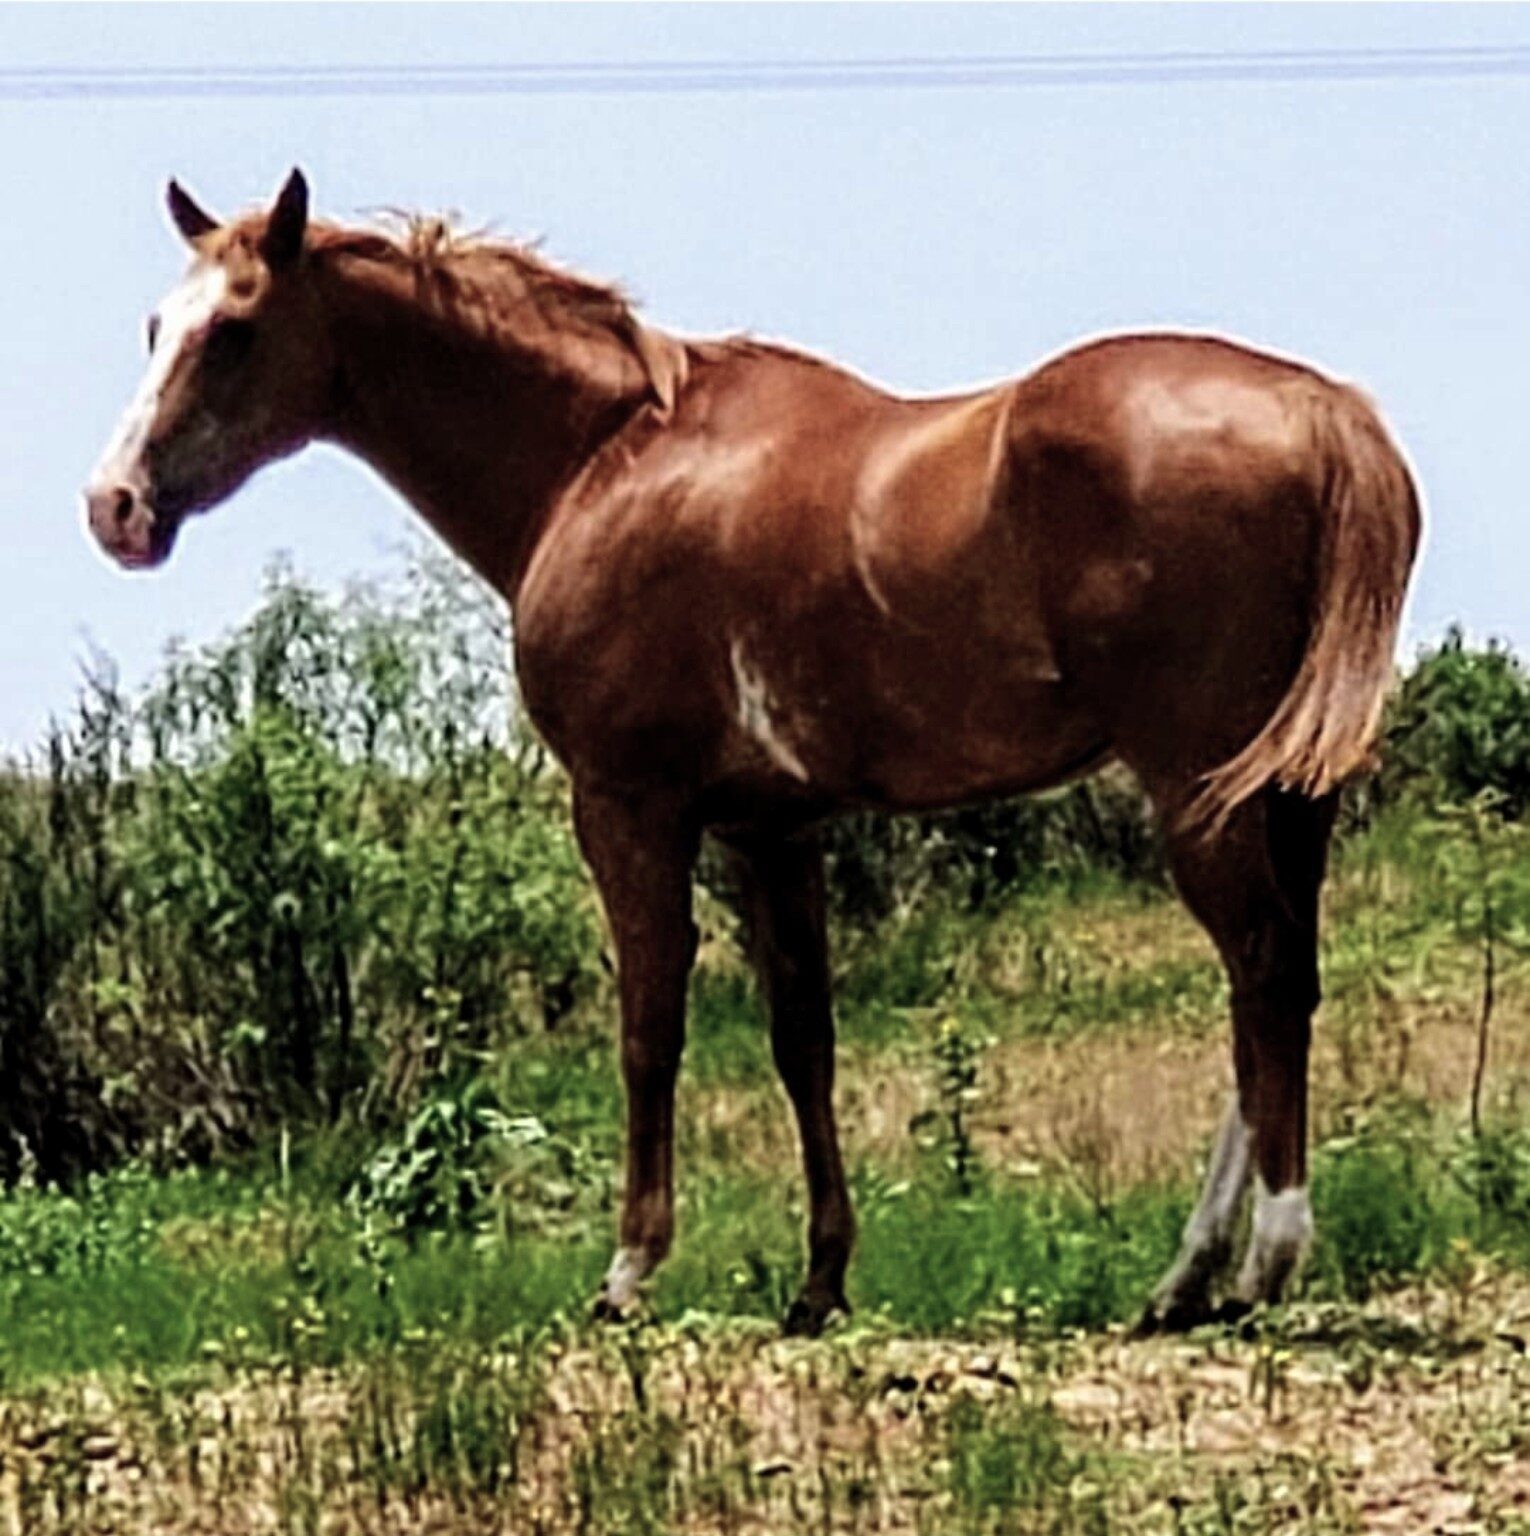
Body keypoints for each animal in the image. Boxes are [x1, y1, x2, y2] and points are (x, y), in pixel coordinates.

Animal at [85, 170, 1420, 1336]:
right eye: (154, 325)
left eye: (234, 332)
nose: (116, 507)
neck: (602, 460)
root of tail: (1321, 410)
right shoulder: (774, 828)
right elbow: (802, 1045)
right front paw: (820, 1283)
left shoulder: (628, 807)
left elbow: (650, 1028)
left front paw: (629, 1270)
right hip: (1289, 798)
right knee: (1278, 989)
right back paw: (1188, 1281)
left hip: (1198, 790)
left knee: (1260, 978)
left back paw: (1255, 1263)